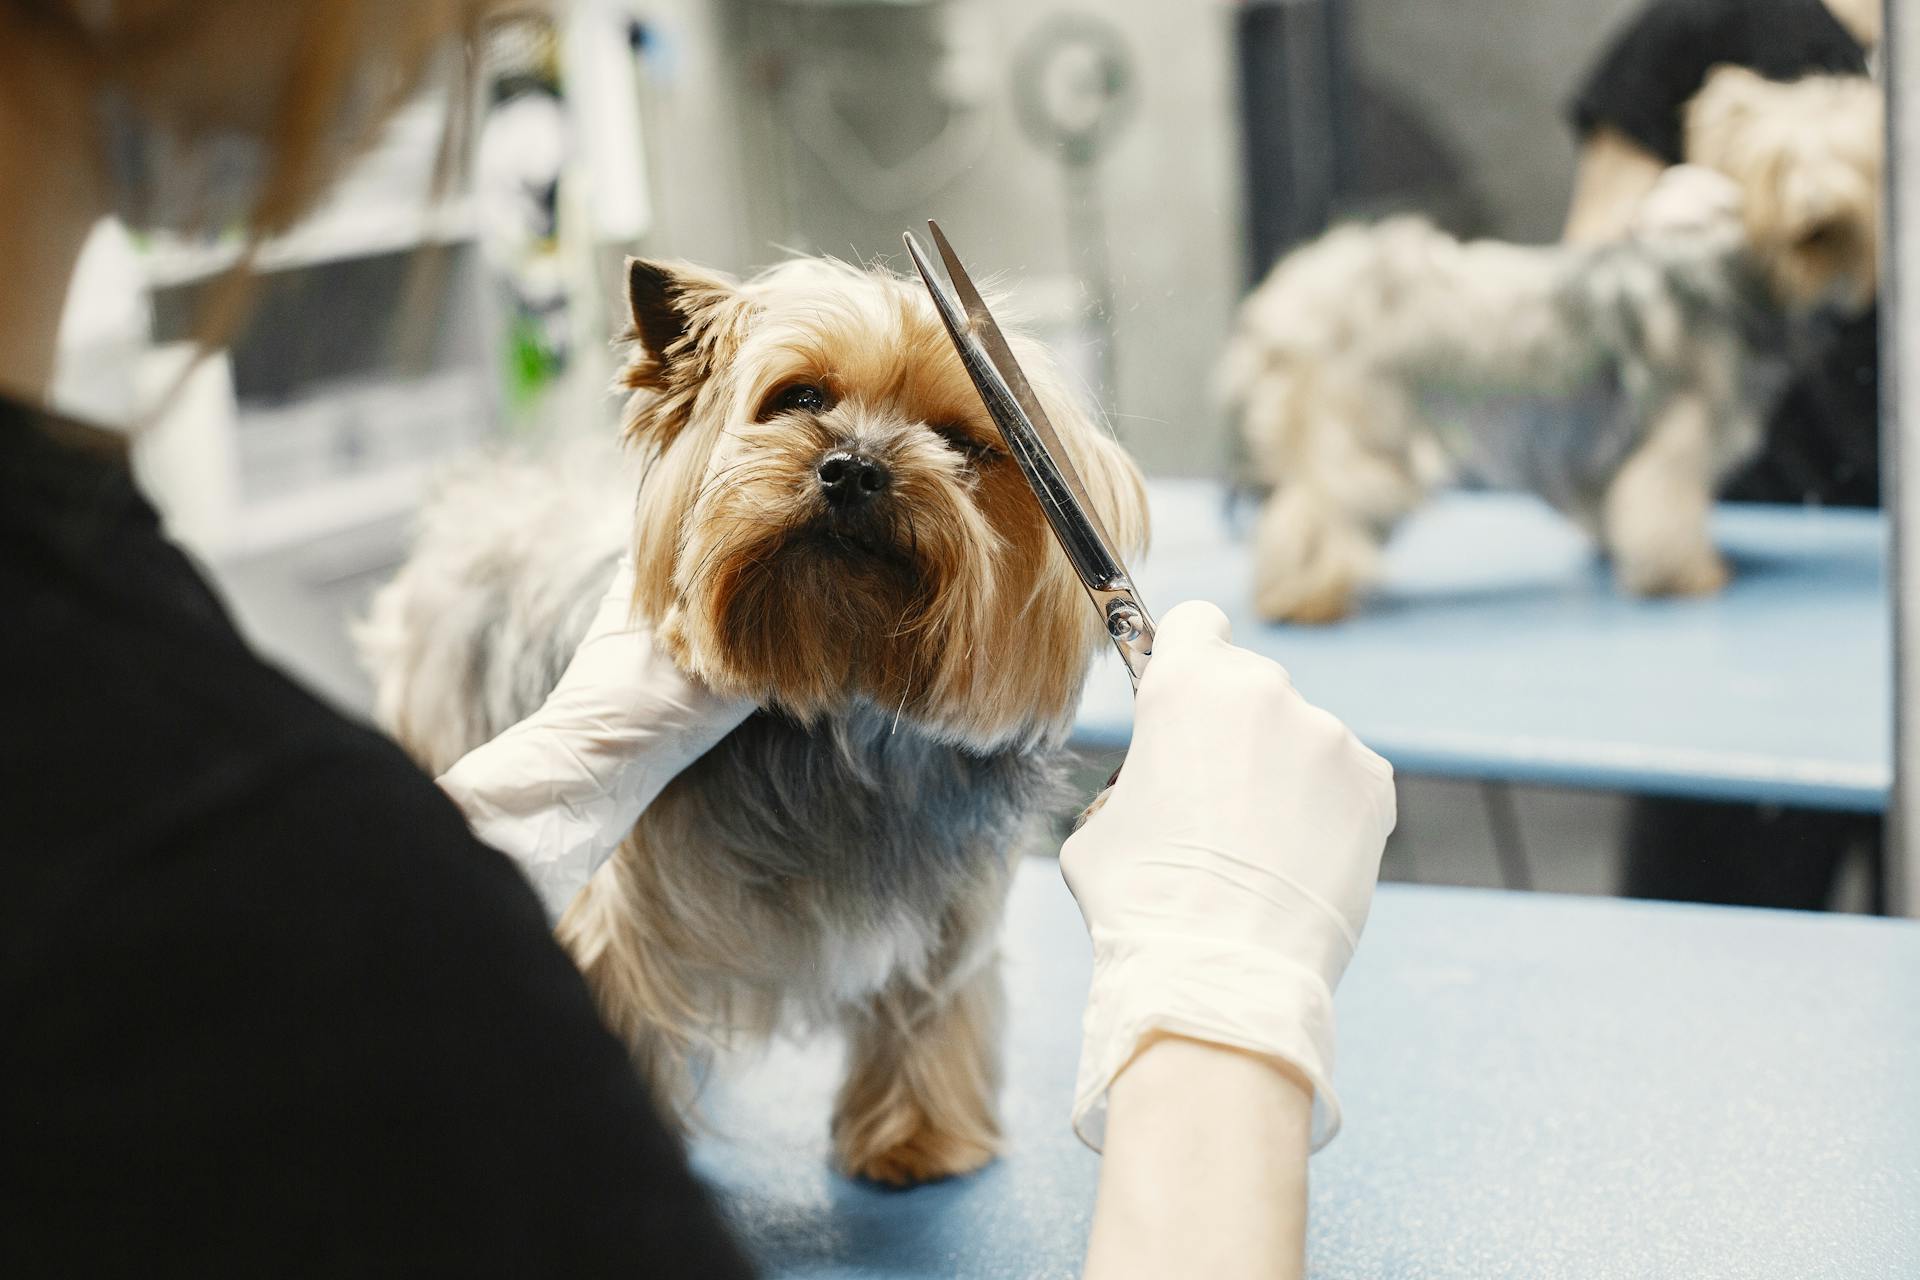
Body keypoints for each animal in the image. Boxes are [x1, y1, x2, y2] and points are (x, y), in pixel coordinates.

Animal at [355, 255, 1144, 1189]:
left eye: (960, 442)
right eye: (799, 398)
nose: (853, 468)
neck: (835, 709)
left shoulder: (948, 900)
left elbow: (927, 1004)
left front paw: (918, 1139)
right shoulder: (617, 911)